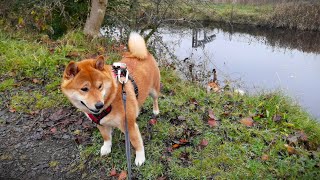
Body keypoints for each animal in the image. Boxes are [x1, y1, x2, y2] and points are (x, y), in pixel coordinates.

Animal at [60, 32, 160, 166]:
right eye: (84, 89)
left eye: (100, 86)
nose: (99, 105)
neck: (110, 101)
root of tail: (143, 54)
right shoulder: (100, 124)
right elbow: (106, 137)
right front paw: (106, 148)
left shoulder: (129, 126)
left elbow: (137, 143)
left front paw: (140, 158)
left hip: (153, 90)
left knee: (155, 99)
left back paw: (155, 110)